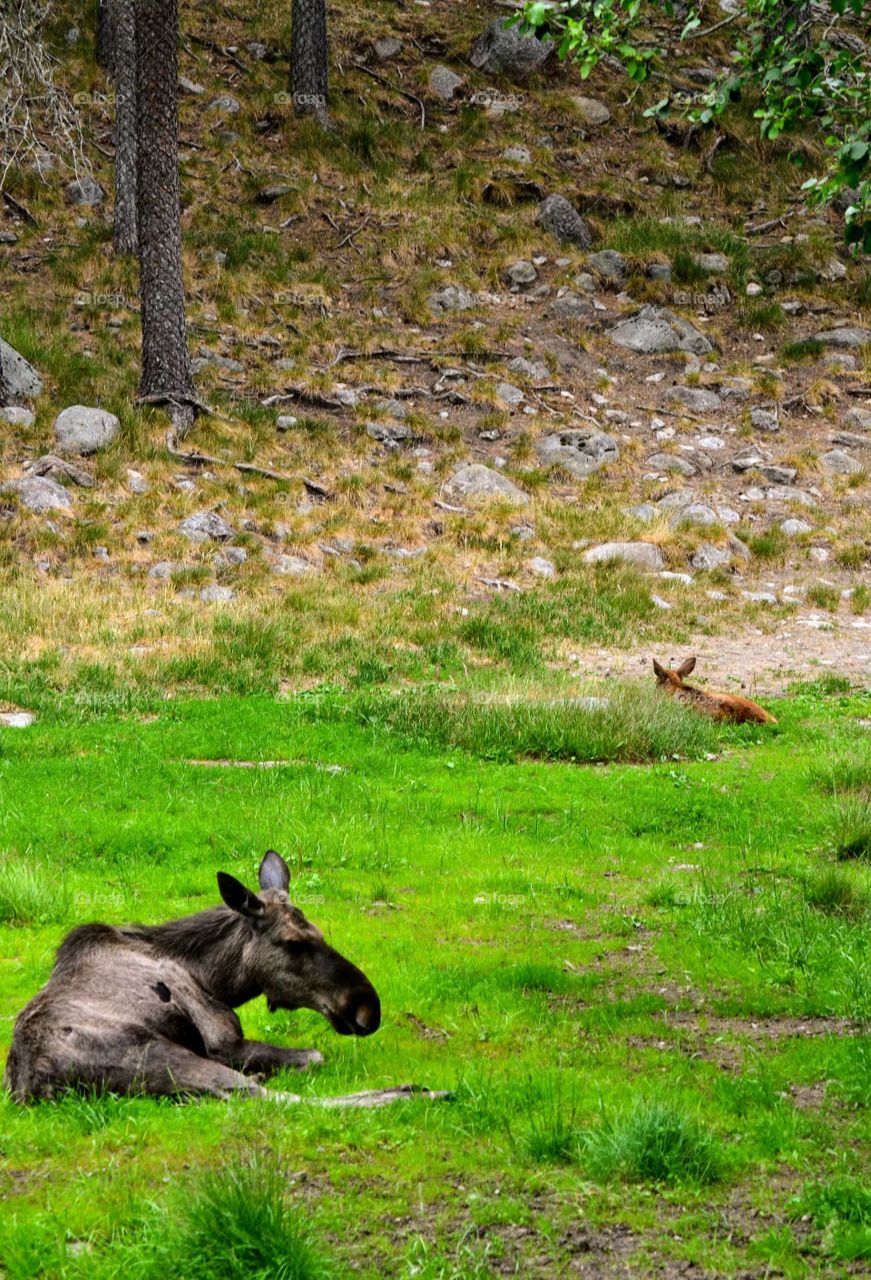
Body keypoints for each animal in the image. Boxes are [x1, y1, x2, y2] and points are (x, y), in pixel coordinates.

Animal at [5, 850, 445, 1109]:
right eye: (293, 942)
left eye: (319, 932)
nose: (367, 1007)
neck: (215, 978)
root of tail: (31, 1087)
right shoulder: (221, 1039)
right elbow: (314, 1056)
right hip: (164, 1056)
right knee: (274, 1099)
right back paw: (416, 1092)